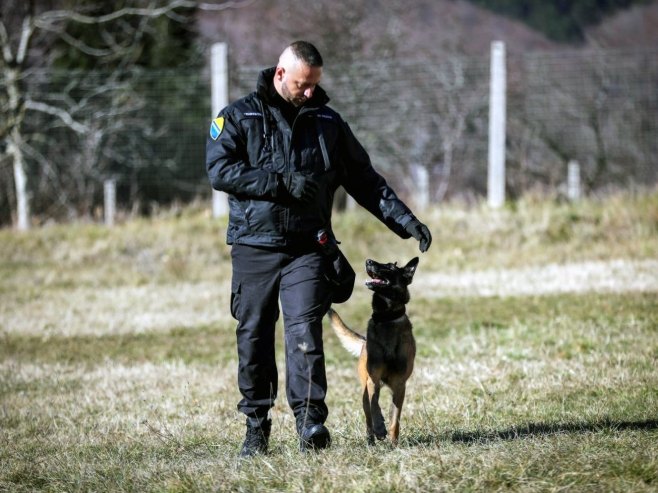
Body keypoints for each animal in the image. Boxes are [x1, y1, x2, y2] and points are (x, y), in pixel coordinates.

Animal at [326, 258, 418, 446]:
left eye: (390, 267)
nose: (368, 261)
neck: (387, 318)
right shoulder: (373, 380)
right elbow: (375, 405)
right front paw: (380, 428)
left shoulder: (399, 385)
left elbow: (395, 418)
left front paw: (394, 443)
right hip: (364, 392)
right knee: (368, 416)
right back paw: (371, 439)